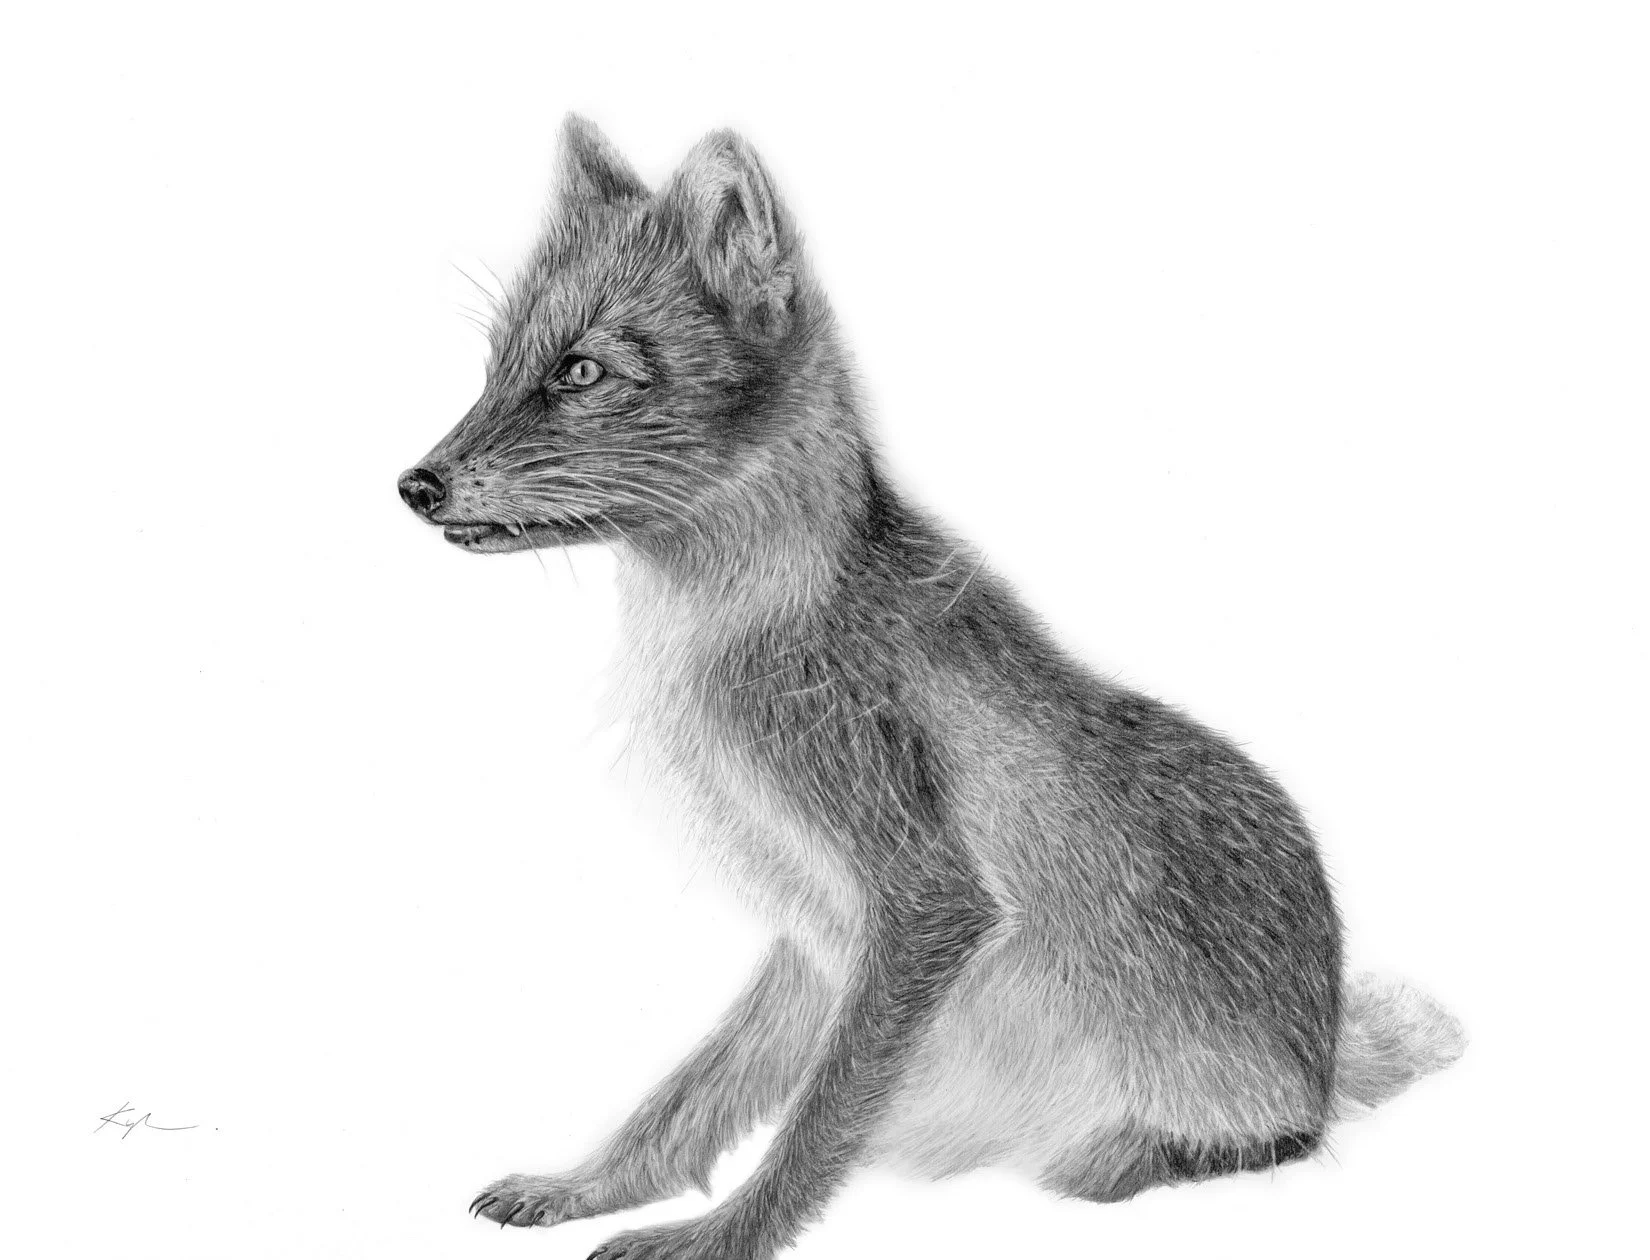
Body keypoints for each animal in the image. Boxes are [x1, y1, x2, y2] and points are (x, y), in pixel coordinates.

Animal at [398, 115, 1465, 1260]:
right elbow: (693, 1096)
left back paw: (1125, 1151)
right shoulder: (815, 934)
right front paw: (585, 1186)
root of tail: (1324, 1038)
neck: (725, 638)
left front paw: (721, 1240)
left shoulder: (924, 904)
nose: (413, 483)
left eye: (582, 370)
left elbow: (816, 1123)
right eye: (497, 366)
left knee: (1276, 1140)